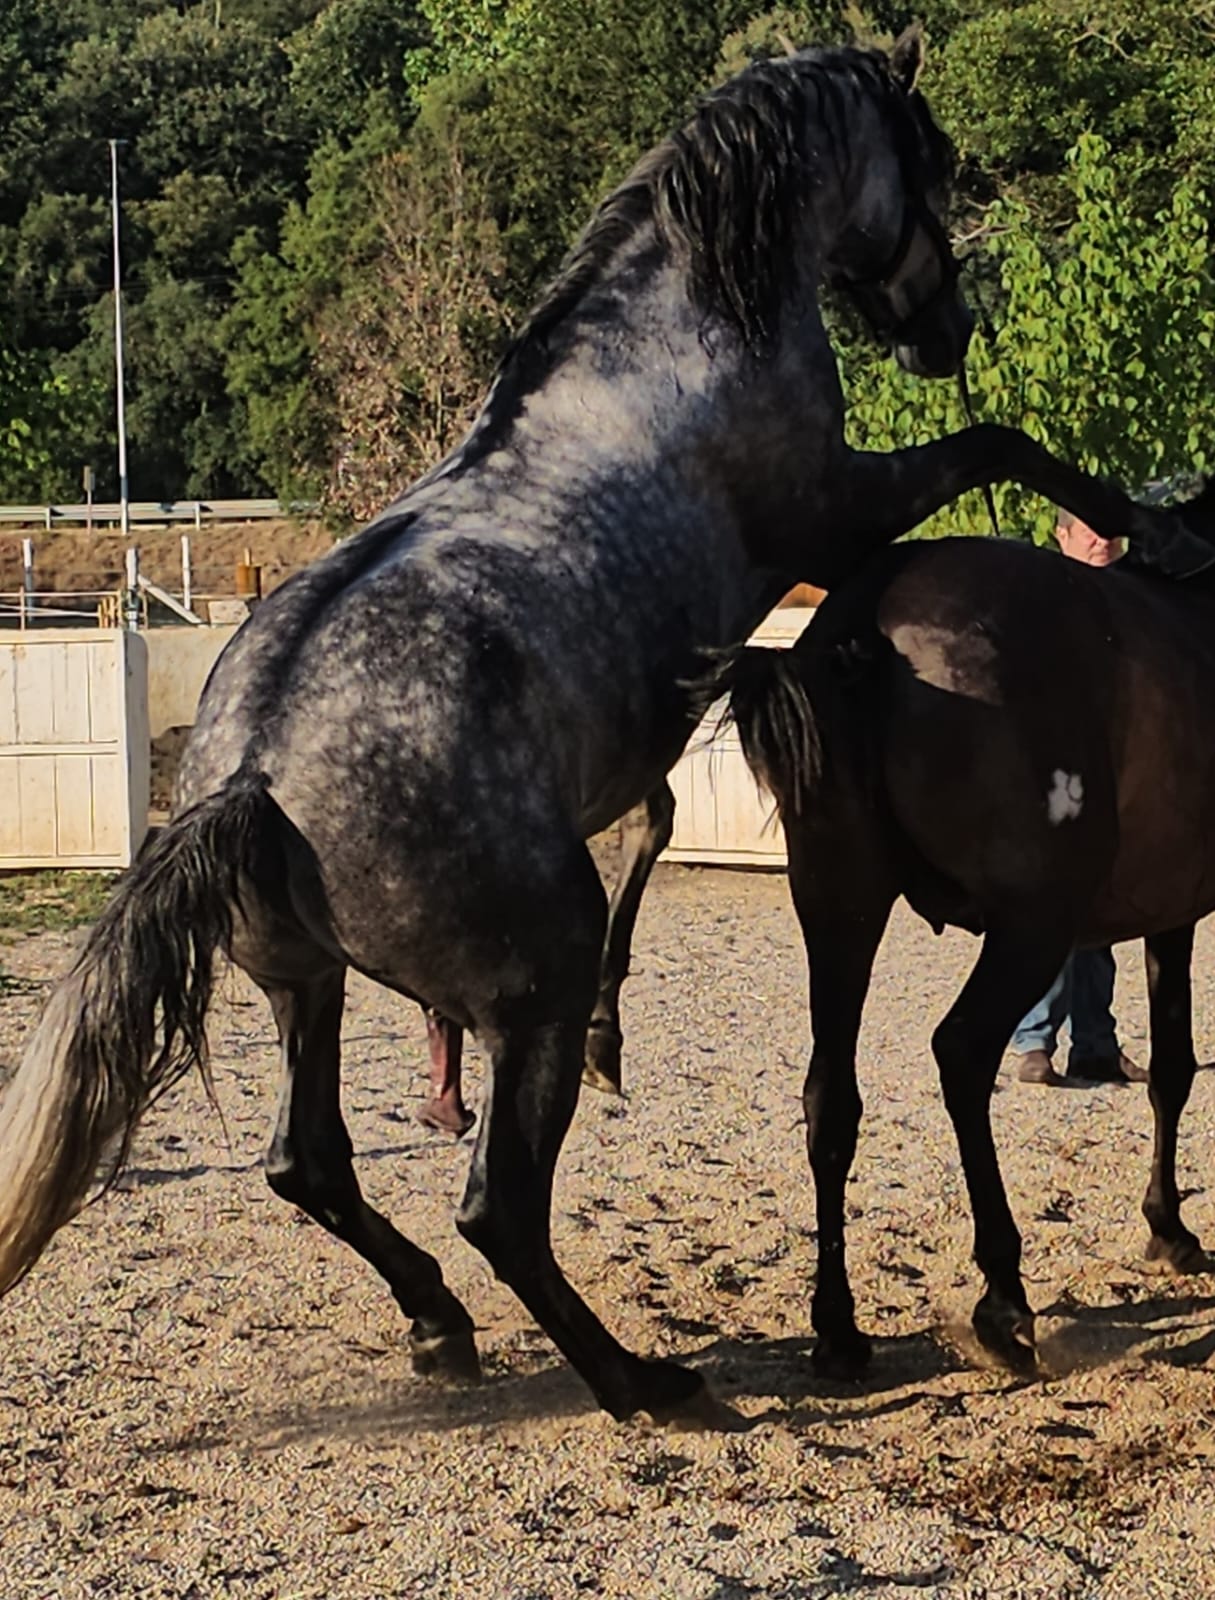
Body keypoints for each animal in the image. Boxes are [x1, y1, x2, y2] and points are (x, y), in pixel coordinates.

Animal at [728, 496, 1215, 1379]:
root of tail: (870, 614)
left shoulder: (1172, 912)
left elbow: (1170, 1069)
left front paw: (1168, 1228)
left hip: (839, 910)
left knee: (828, 1096)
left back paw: (838, 1329)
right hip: (1030, 927)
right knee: (960, 1052)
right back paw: (1003, 1302)